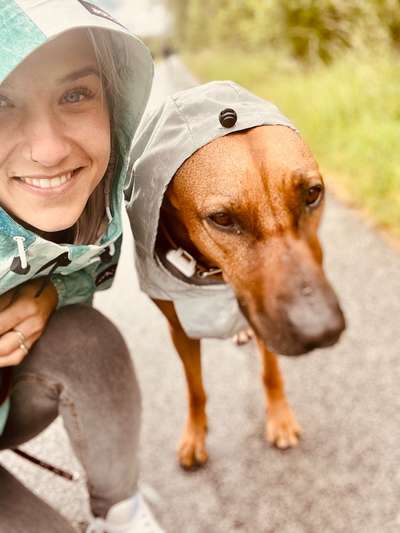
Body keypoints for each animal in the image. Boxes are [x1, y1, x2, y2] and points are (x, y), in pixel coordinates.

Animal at [149, 125, 344, 470]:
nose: (321, 330)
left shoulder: (263, 318)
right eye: (222, 219)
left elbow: (270, 372)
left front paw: (280, 418)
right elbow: (195, 390)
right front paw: (195, 434)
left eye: (312, 193)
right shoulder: (180, 330)